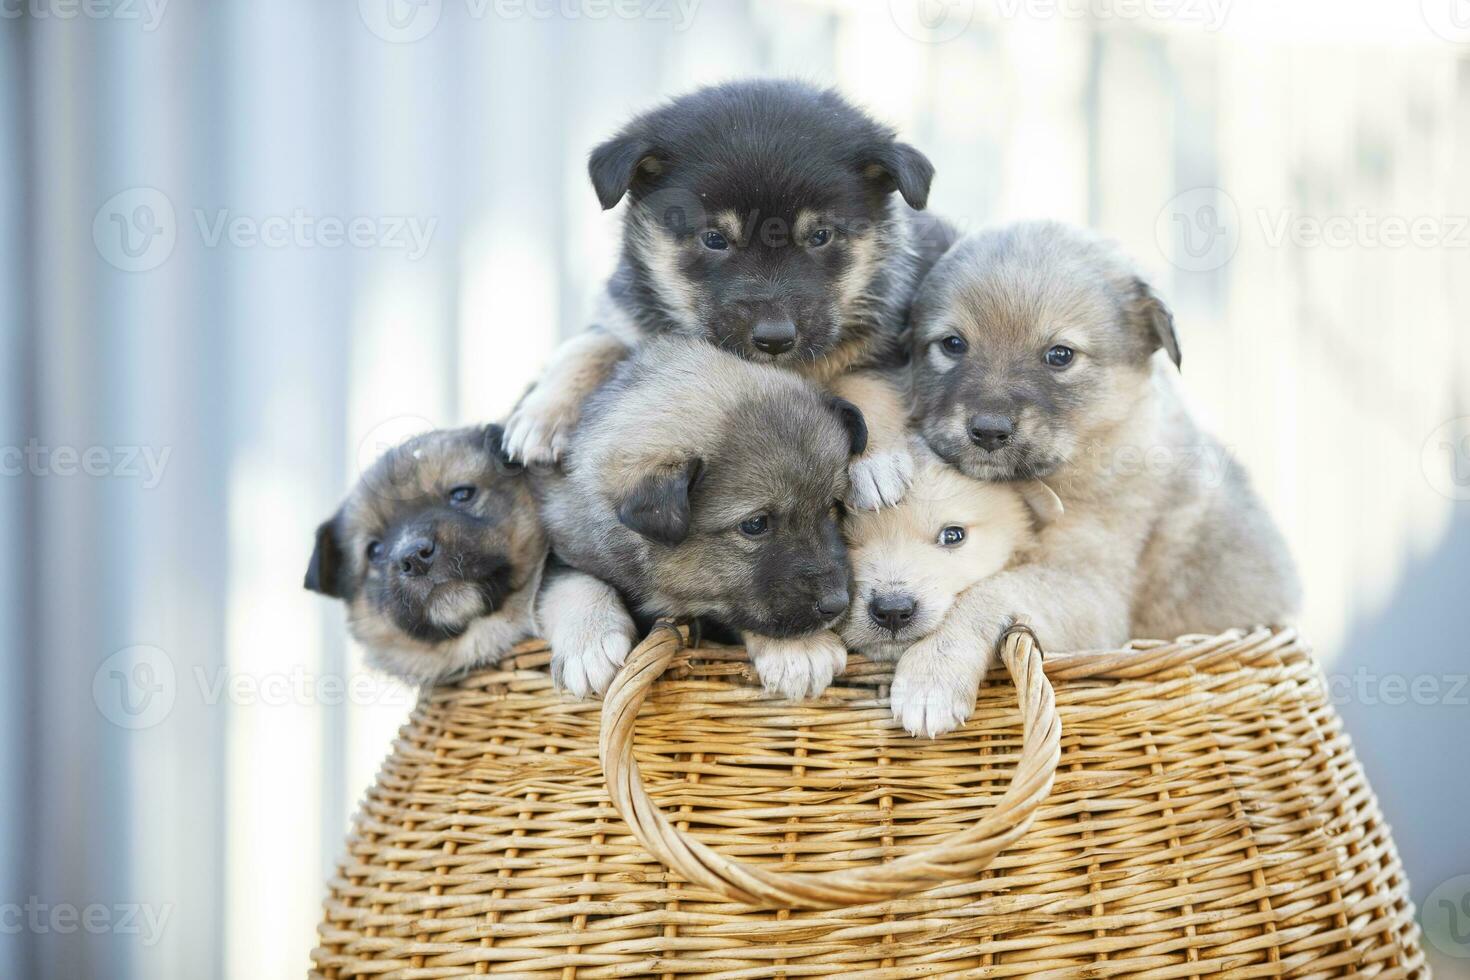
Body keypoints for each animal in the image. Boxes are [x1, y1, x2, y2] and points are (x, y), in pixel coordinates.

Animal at [499, 77, 946, 514]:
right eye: (714, 239)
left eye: (821, 236)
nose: (774, 339)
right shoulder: (626, 317)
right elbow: (588, 345)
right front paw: (543, 414)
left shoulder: (888, 346)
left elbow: (865, 380)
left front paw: (874, 458)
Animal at [535, 337, 864, 696]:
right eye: (755, 524)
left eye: (832, 506)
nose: (838, 603)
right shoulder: (565, 548)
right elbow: (574, 583)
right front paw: (589, 644)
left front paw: (799, 648)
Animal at [893, 220, 1299, 734]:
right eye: (952, 344)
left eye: (1060, 355)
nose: (987, 430)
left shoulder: (1096, 594)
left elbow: (992, 589)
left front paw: (930, 673)